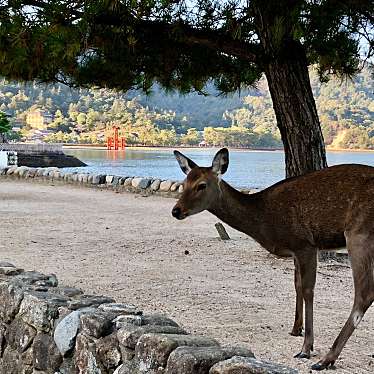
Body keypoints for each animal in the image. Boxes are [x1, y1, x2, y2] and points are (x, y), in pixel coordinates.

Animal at [172, 148, 374, 370]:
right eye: (183, 183)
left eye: (202, 185)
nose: (176, 210)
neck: (265, 221)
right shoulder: (295, 251)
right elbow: (297, 285)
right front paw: (295, 329)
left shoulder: (305, 243)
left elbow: (308, 290)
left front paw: (306, 348)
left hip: (359, 233)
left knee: (364, 293)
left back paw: (326, 359)